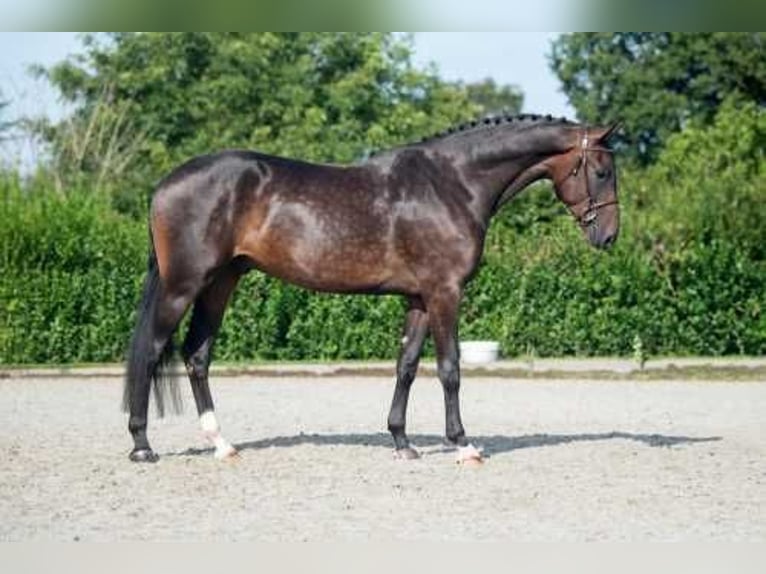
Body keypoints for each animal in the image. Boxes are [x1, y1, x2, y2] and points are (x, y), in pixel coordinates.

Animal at [123, 112, 620, 464]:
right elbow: (450, 368)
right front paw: (463, 444)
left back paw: (222, 444)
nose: (609, 236)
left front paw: (402, 441)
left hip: (221, 282)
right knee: (151, 351)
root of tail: (164, 185)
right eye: (601, 171)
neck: (453, 183)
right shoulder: (445, 293)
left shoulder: (419, 299)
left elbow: (406, 366)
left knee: (197, 355)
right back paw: (142, 445)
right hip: (183, 285)